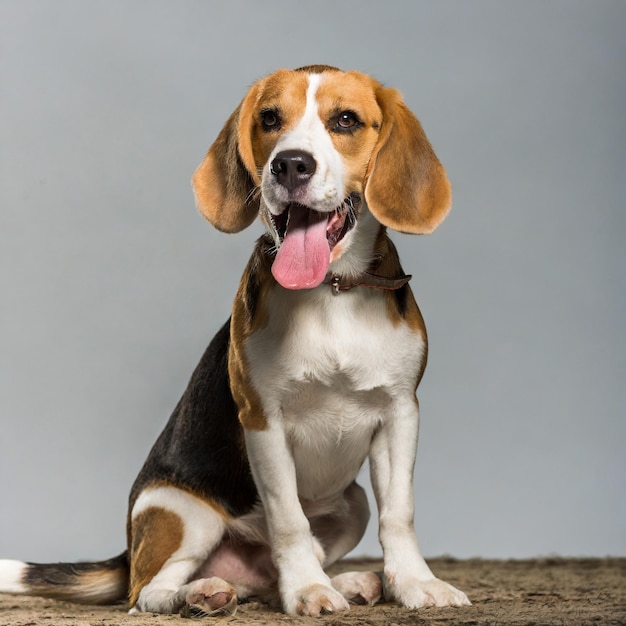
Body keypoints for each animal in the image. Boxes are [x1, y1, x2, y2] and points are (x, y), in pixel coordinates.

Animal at [0, 64, 468, 616]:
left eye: (346, 120)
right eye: (269, 119)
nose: (290, 164)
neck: (331, 291)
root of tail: (128, 550)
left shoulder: (399, 412)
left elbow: (400, 512)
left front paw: (415, 583)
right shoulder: (263, 418)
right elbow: (288, 518)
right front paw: (308, 591)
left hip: (351, 505)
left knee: (267, 577)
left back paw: (349, 581)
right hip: (182, 513)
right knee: (148, 593)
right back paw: (203, 593)